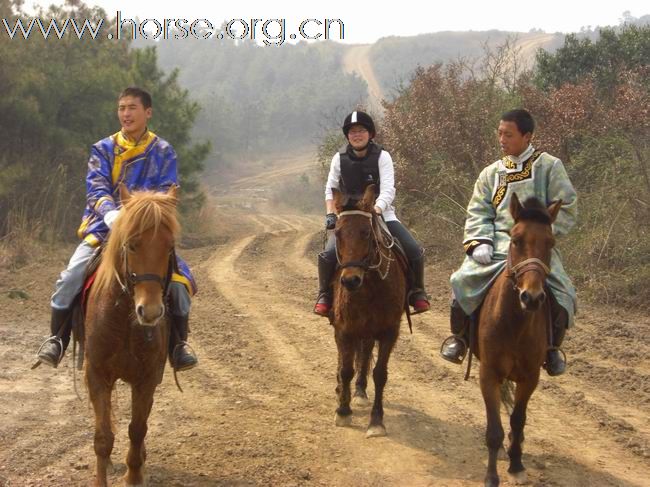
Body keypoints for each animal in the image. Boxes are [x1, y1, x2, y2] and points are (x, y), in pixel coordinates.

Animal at [85, 185, 180, 486]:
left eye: (169, 247)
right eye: (132, 244)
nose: (149, 312)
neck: (124, 323)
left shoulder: (147, 378)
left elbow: (137, 430)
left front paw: (134, 475)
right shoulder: (97, 374)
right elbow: (103, 437)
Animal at [330, 186, 404, 438]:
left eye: (366, 233)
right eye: (338, 233)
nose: (350, 280)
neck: (369, 286)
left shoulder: (389, 331)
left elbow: (380, 374)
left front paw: (376, 421)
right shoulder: (345, 329)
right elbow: (345, 369)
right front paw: (343, 412)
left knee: (365, 353)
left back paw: (360, 392)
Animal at [474, 194, 560, 487]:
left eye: (551, 243)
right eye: (515, 239)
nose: (531, 297)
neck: (514, 324)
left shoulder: (530, 377)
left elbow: (518, 419)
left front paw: (516, 464)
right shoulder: (488, 373)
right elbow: (493, 429)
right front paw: (491, 476)